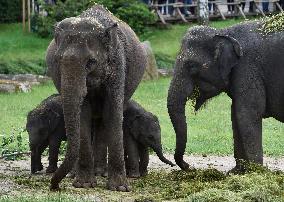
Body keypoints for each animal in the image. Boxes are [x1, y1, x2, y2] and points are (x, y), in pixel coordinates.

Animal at [46, 4, 146, 191]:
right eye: (58, 60)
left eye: (91, 62)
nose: (55, 187)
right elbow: (83, 113)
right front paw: (84, 184)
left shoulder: (117, 64)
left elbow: (113, 112)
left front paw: (120, 188)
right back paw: (76, 174)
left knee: (102, 121)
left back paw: (101, 172)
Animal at [168, 20, 284, 172]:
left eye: (192, 66)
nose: (189, 166)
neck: (223, 32)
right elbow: (235, 116)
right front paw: (237, 172)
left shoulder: (247, 68)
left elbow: (247, 114)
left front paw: (258, 172)